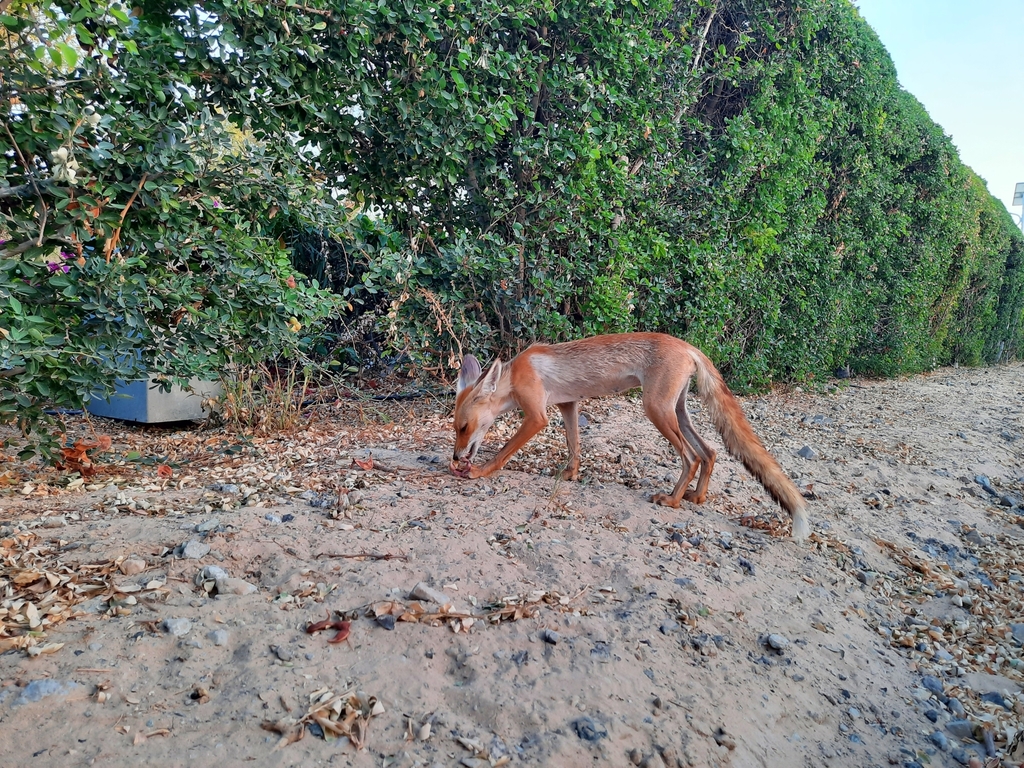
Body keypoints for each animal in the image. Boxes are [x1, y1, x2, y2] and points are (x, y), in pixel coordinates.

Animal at [449, 332, 809, 541]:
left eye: (463, 428)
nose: (455, 458)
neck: (514, 376)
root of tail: (688, 345)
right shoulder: (568, 404)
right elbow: (574, 445)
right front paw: (570, 474)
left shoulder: (537, 416)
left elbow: (503, 452)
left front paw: (478, 471)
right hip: (677, 411)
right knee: (709, 452)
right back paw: (696, 497)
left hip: (656, 410)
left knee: (691, 457)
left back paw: (673, 500)